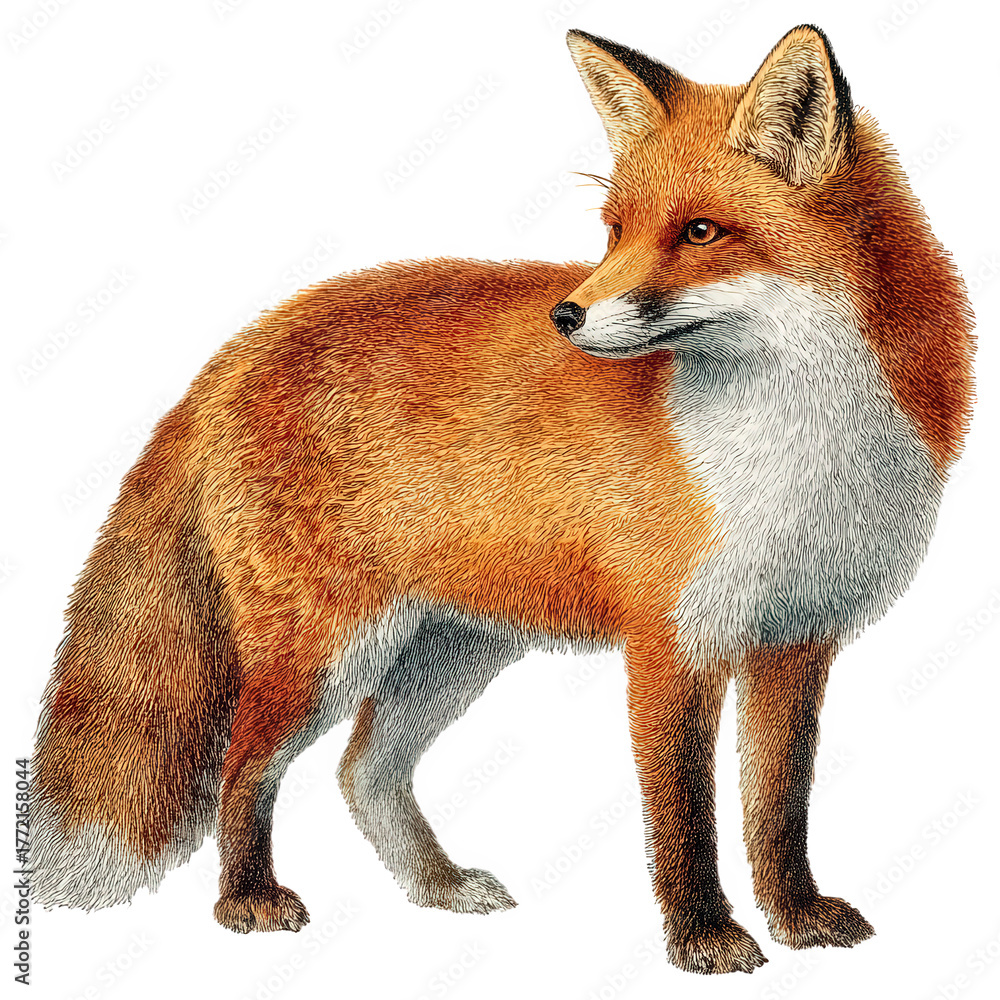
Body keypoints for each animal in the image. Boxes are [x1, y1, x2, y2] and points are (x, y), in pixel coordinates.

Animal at [31, 24, 973, 975]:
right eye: (614, 232)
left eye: (701, 231)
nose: (567, 316)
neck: (800, 444)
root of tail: (241, 345)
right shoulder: (671, 644)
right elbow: (684, 817)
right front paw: (705, 935)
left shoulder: (797, 639)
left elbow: (778, 807)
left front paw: (798, 917)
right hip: (324, 655)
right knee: (243, 764)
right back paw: (247, 901)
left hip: (452, 653)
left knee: (362, 772)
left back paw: (438, 887)